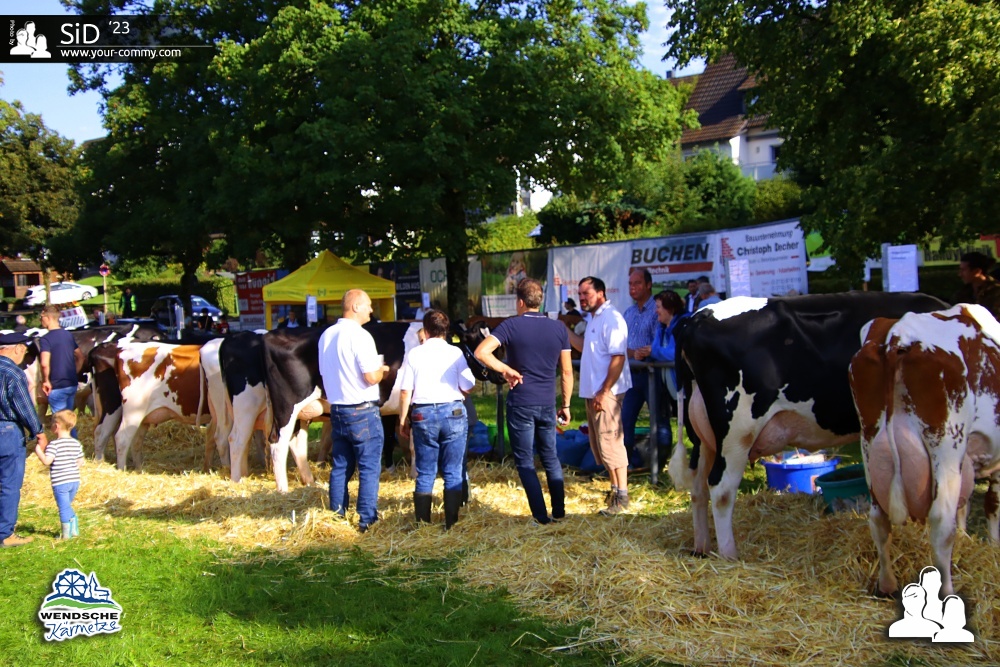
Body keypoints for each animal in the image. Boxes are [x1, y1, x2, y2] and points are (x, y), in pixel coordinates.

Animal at [668, 292, 949, 560]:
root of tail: (698, 317)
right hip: (737, 431)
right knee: (721, 488)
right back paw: (729, 556)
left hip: (704, 437)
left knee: (698, 488)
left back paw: (702, 548)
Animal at [849, 304, 1000, 596]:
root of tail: (898, 334)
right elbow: (992, 505)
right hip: (946, 444)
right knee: (941, 522)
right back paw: (948, 593)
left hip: (869, 443)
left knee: (878, 519)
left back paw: (887, 585)